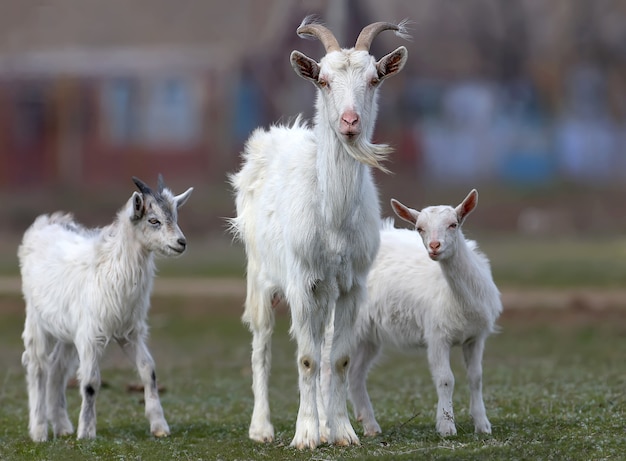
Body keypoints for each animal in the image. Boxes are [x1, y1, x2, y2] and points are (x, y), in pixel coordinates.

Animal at [19, 174, 191, 440]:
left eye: (175, 216)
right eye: (154, 220)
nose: (181, 243)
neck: (111, 268)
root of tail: (47, 222)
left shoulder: (130, 332)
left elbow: (148, 370)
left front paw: (160, 426)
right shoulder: (91, 335)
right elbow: (90, 382)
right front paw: (87, 432)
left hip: (68, 331)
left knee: (57, 367)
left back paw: (63, 426)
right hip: (37, 318)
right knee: (37, 365)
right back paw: (39, 431)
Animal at [229, 16, 410, 448]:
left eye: (374, 78)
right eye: (323, 80)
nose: (349, 121)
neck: (333, 220)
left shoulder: (351, 285)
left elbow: (338, 358)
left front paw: (341, 431)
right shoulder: (302, 282)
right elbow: (308, 358)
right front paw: (307, 434)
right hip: (260, 274)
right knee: (261, 345)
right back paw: (261, 428)